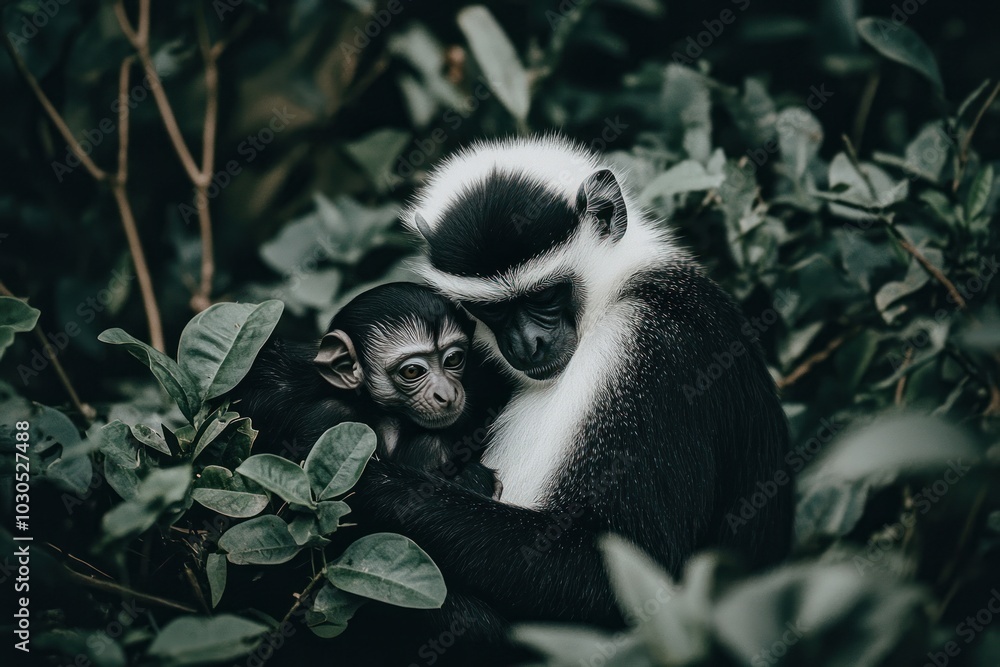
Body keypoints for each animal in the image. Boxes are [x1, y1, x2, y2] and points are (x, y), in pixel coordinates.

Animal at [356, 134, 792, 636]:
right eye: (492, 310)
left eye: (544, 295)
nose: (526, 344)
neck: (613, 294)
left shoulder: (649, 347)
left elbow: (622, 576)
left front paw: (375, 486)